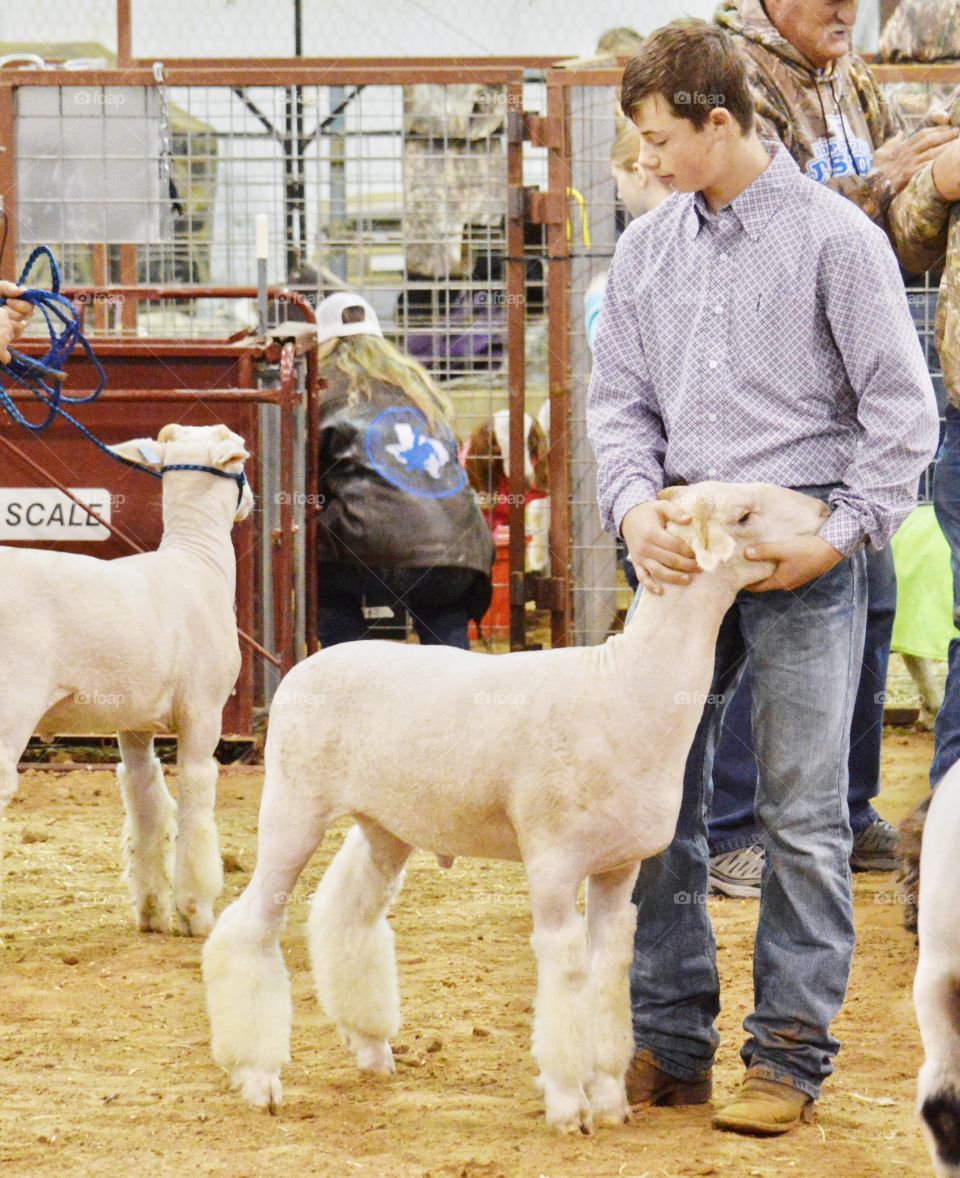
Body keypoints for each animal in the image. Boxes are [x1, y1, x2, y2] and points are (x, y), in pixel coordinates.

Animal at [0, 424, 252, 937]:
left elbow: (146, 803)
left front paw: (153, 912)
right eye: (242, 464)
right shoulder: (204, 715)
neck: (197, 563)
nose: (251, 500)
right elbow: (195, 805)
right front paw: (197, 915)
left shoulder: (132, 724)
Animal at [204, 478, 833, 1130]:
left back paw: (372, 1048)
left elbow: (608, 974)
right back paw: (256, 1075)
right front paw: (568, 1104)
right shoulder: (553, 862)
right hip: (293, 805)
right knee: (249, 925)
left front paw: (610, 1099)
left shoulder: (619, 866)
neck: (625, 688)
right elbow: (567, 971)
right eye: (745, 514)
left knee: (346, 918)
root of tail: (304, 662)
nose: (825, 510)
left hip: (386, 823)